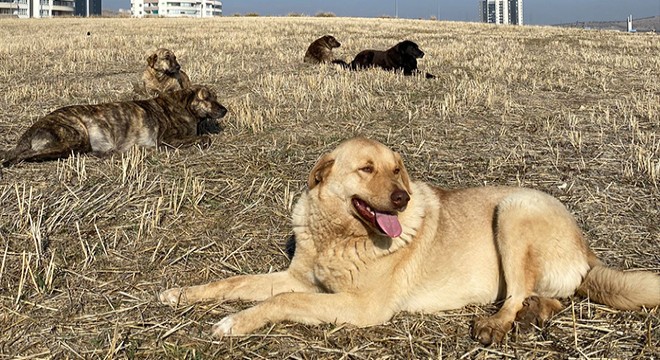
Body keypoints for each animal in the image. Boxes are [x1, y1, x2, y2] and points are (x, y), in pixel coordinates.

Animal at [0, 86, 227, 167]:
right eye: (207, 98)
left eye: (216, 96)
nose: (225, 110)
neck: (184, 106)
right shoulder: (166, 140)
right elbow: (204, 138)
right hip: (74, 136)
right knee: (23, 156)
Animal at [160, 137, 660, 344]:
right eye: (366, 169)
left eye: (397, 168)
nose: (401, 199)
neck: (339, 235)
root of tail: (586, 246)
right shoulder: (298, 277)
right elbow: (233, 283)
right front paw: (181, 294)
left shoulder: (360, 307)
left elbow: (280, 302)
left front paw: (232, 323)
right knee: (552, 296)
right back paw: (537, 313)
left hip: (513, 209)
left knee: (519, 293)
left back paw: (496, 325)